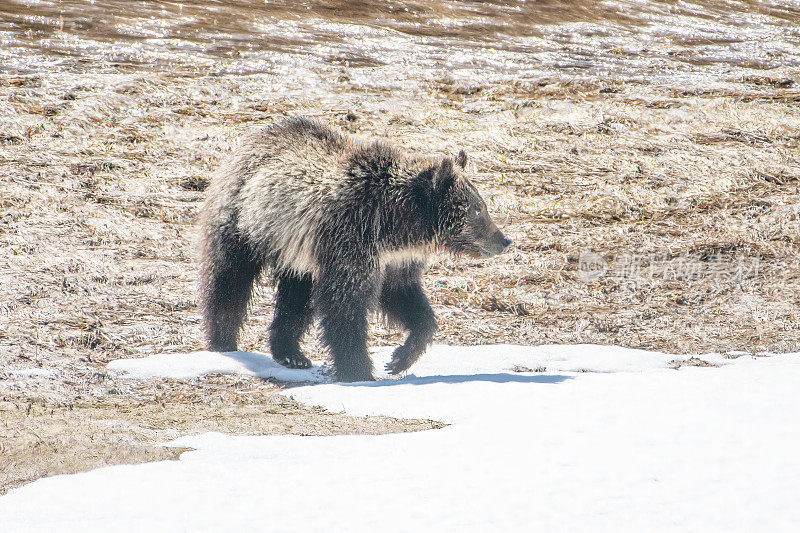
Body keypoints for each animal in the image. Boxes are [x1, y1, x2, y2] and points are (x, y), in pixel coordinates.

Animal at [200, 118, 512, 380]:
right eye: (477, 209)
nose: (503, 240)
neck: (395, 225)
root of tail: (256, 135)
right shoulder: (351, 239)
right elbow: (344, 304)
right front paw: (358, 370)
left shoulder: (393, 259)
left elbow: (405, 297)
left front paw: (399, 358)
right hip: (244, 221)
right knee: (229, 279)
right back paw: (222, 340)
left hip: (296, 253)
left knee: (296, 297)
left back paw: (291, 353)